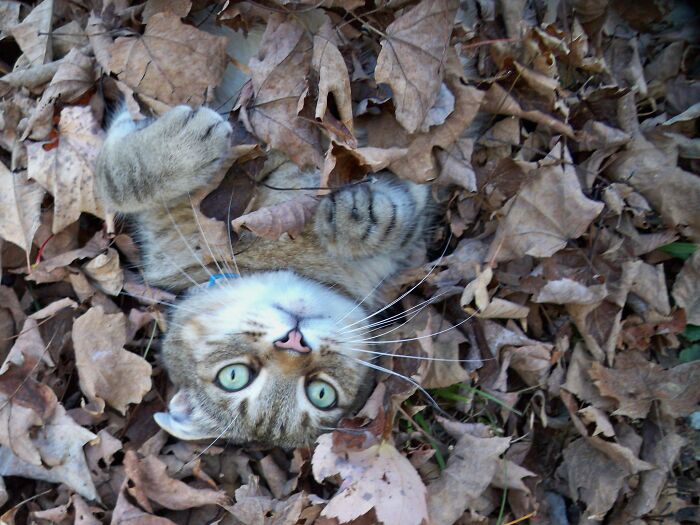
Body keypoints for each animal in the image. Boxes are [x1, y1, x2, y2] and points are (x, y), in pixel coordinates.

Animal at [93, 105, 432, 446]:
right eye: (234, 376)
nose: (294, 342)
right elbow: (111, 184)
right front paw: (177, 150)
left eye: (321, 394)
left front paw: (361, 218)